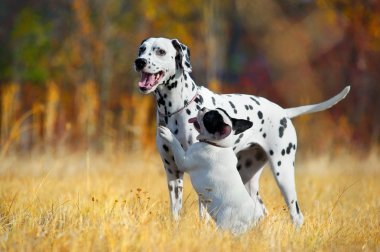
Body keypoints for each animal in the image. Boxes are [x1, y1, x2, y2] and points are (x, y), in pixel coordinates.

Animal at [159, 107, 262, 235]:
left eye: (207, 118)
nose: (203, 108)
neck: (217, 145)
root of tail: (251, 222)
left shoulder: (184, 162)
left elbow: (177, 146)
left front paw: (168, 134)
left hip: (225, 224)